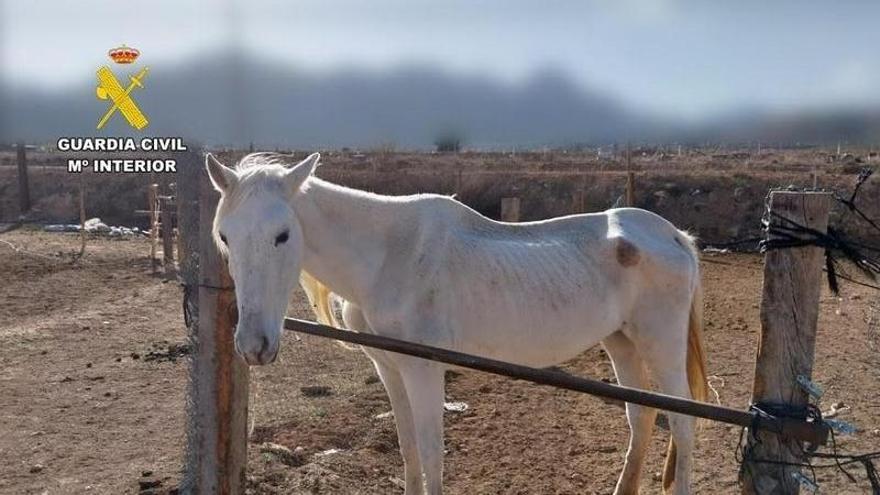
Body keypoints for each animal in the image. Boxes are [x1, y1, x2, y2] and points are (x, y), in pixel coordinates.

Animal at [206, 152, 708, 495]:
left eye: (282, 235)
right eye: (225, 236)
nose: (253, 346)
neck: (388, 257)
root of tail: (672, 235)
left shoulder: (424, 370)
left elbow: (432, 455)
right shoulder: (390, 369)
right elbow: (409, 450)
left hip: (661, 347)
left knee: (682, 424)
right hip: (621, 342)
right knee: (641, 417)